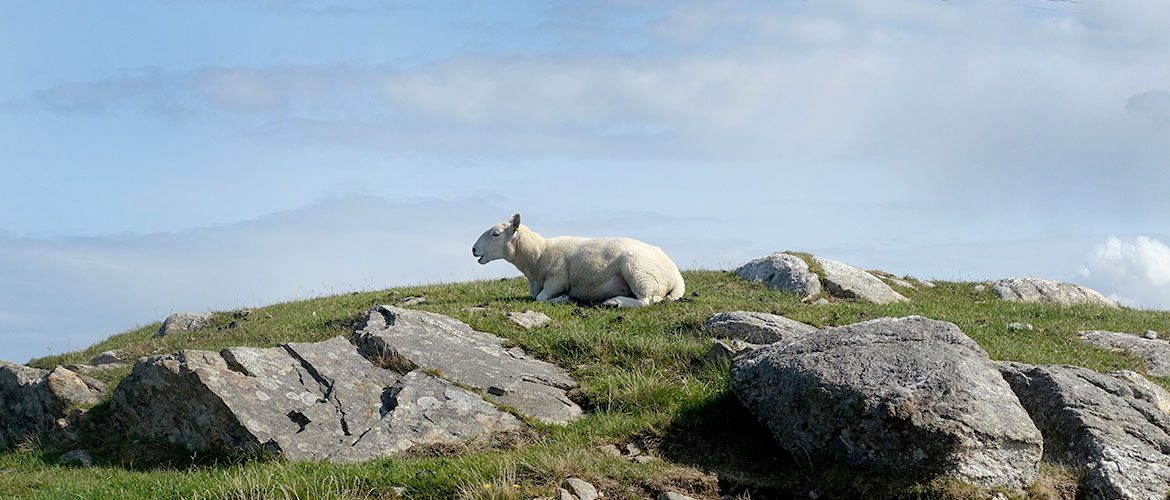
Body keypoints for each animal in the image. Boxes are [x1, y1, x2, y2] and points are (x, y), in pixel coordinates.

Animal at [467, 213, 683, 306]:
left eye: (495, 234)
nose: (474, 249)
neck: (538, 255)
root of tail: (677, 278)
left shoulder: (558, 279)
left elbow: (541, 298)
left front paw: (563, 298)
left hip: (638, 271)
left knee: (647, 300)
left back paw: (614, 302)